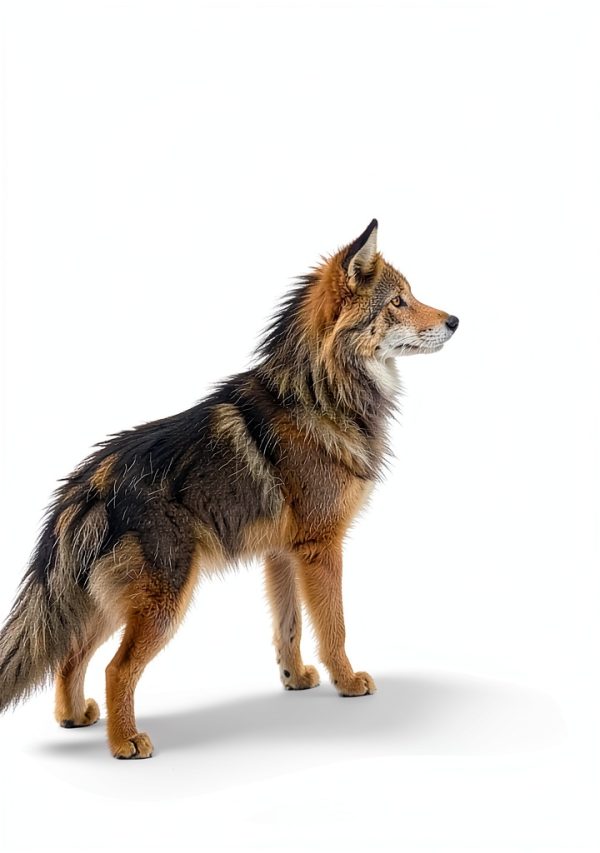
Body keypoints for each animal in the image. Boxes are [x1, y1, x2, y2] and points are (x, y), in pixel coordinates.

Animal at [0, 220, 458, 758]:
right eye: (398, 302)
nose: (455, 320)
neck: (321, 392)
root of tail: (87, 484)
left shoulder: (282, 554)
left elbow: (289, 628)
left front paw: (295, 679)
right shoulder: (321, 548)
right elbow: (334, 628)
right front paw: (346, 682)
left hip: (107, 605)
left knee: (70, 657)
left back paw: (76, 718)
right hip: (163, 604)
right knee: (116, 669)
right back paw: (125, 741)